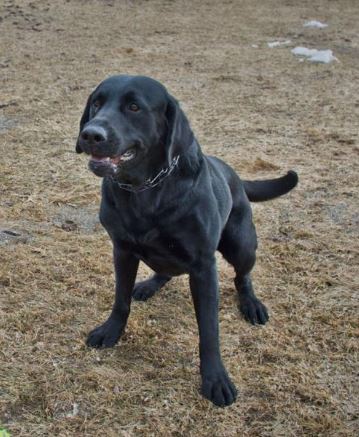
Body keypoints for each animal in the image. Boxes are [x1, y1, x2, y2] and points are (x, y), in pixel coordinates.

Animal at [76, 75, 298, 406]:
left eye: (134, 107)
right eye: (97, 103)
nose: (91, 134)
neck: (146, 189)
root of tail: (233, 174)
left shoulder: (203, 267)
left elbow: (209, 329)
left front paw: (215, 378)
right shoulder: (122, 251)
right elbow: (121, 300)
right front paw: (111, 331)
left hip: (241, 244)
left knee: (242, 276)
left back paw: (251, 303)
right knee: (164, 271)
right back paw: (148, 285)